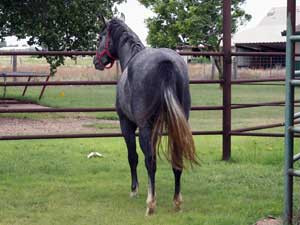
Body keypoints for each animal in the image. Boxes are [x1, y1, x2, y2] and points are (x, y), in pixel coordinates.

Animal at [93, 17, 197, 214]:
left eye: (100, 37)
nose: (96, 61)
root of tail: (166, 63)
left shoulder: (127, 124)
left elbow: (133, 157)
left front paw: (134, 190)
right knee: (176, 158)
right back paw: (176, 201)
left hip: (144, 127)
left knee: (150, 161)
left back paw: (151, 203)